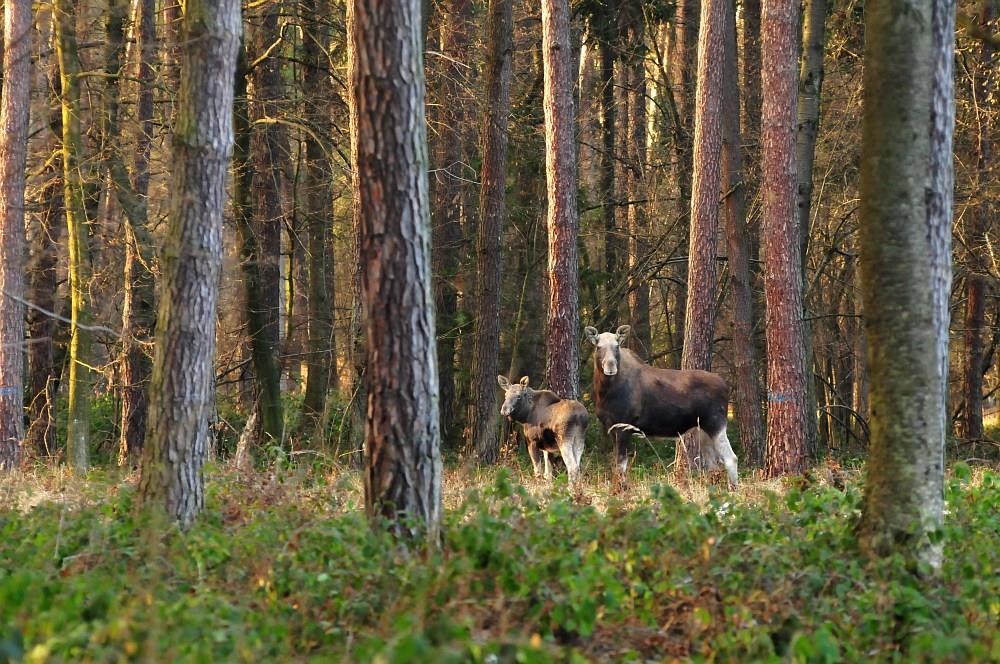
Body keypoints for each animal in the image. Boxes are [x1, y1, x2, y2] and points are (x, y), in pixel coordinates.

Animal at [584, 326, 740, 488]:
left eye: (617, 346)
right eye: (598, 347)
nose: (610, 366)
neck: (604, 392)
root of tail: (726, 386)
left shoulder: (624, 427)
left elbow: (621, 465)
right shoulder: (612, 427)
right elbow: (616, 464)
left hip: (716, 423)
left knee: (731, 458)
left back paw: (733, 489)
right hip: (702, 429)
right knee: (712, 465)